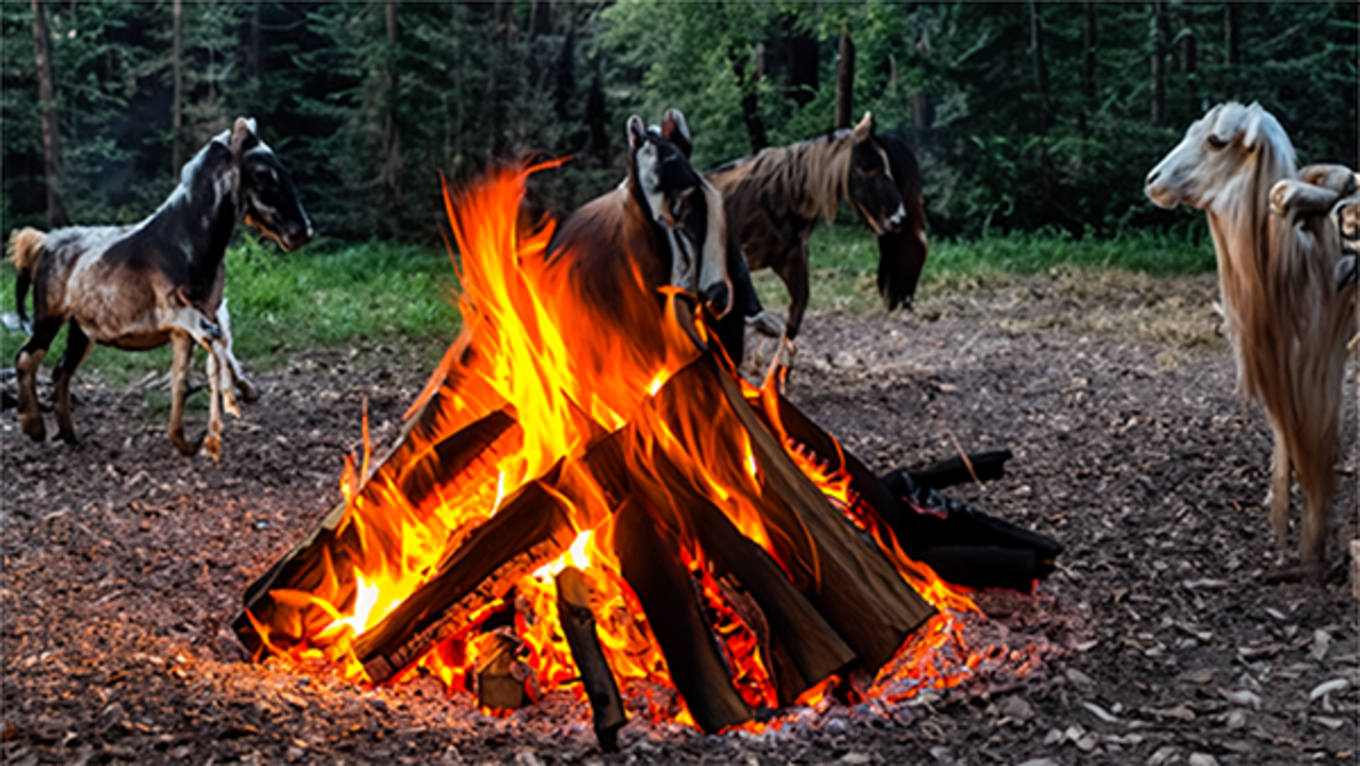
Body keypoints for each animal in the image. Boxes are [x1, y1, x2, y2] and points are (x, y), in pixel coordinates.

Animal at [8, 117, 311, 459]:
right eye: (262, 174)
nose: (302, 232)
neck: (182, 244)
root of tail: (43, 243)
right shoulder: (187, 320)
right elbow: (207, 359)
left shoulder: (189, 327)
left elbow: (182, 377)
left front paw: (184, 441)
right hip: (49, 318)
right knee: (27, 357)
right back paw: (34, 428)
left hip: (81, 331)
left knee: (61, 371)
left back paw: (70, 435)